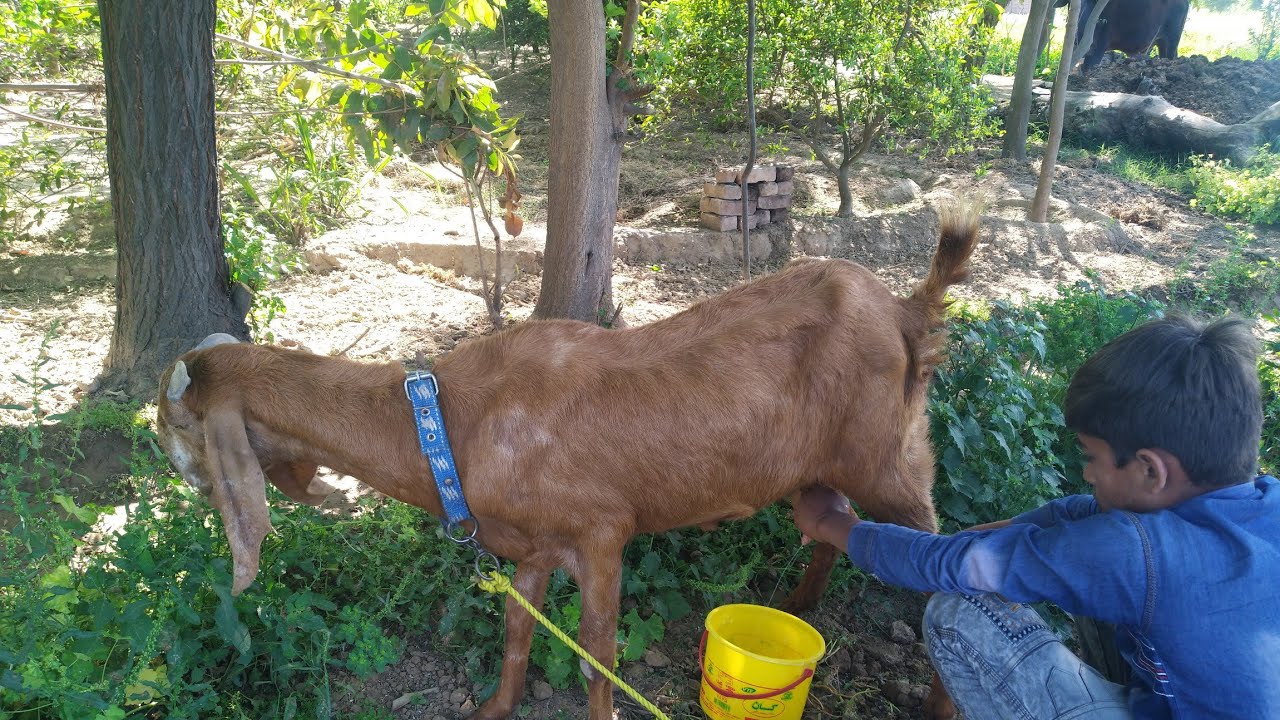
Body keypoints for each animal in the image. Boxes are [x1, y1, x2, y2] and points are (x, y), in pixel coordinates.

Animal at [156, 203, 980, 720]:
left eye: (177, 421)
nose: (176, 474)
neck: (452, 426)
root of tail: (907, 311)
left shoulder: (600, 533)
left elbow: (594, 654)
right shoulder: (531, 545)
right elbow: (518, 633)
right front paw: (493, 709)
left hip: (890, 455)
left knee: (948, 558)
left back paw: (943, 701)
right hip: (832, 467)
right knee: (836, 524)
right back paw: (801, 607)